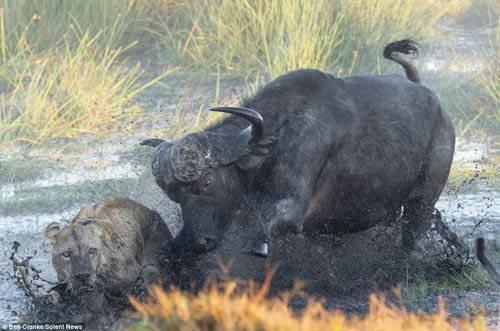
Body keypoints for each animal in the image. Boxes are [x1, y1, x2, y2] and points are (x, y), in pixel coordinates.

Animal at [143, 39, 456, 256]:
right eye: (174, 196)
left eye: (207, 183)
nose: (197, 242)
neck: (277, 136)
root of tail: (433, 100)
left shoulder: (294, 207)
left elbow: (267, 231)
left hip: (423, 200)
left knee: (413, 231)